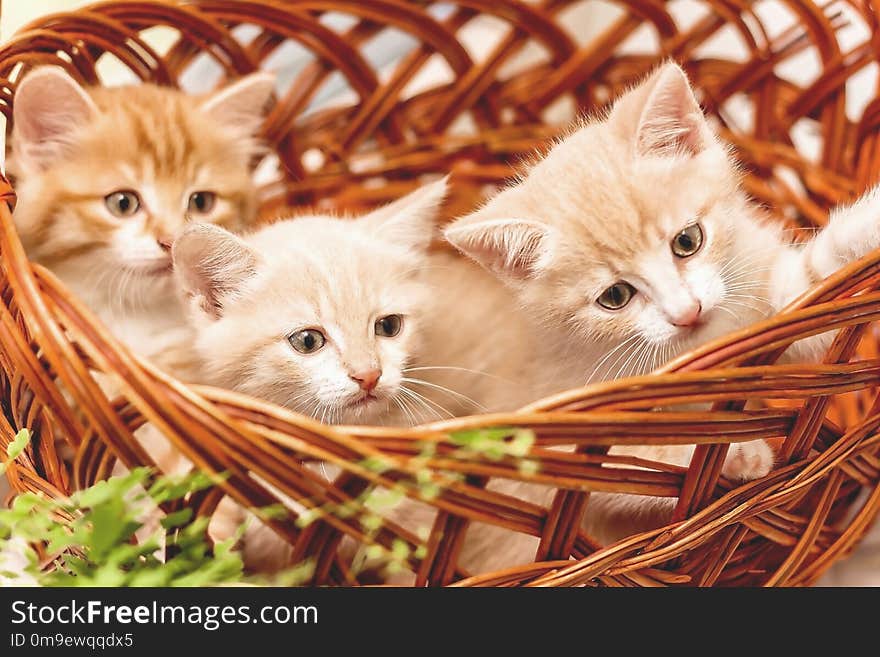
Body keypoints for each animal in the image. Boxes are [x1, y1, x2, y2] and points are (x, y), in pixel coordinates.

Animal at [446, 61, 880, 544]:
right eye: (615, 296)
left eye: (687, 241)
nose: (686, 312)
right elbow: (624, 458)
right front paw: (734, 453)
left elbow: (816, 283)